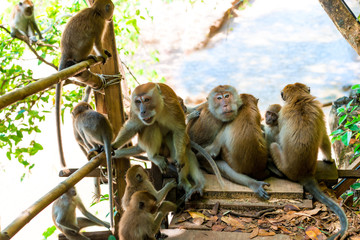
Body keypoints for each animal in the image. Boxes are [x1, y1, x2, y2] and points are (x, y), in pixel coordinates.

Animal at [55, 0, 114, 170]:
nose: (111, 16)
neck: (95, 11)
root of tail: (65, 52)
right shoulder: (100, 23)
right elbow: (97, 42)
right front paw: (102, 54)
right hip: (81, 48)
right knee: (90, 39)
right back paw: (84, 59)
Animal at [71, 101, 114, 231]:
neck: (82, 112)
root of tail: (106, 132)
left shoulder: (77, 125)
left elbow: (82, 138)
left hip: (92, 135)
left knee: (87, 137)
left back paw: (95, 148)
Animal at [272, 83, 348, 240]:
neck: (299, 99)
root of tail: (305, 174)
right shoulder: (318, 109)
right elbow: (324, 137)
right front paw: (329, 159)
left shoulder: (282, 113)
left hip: (283, 165)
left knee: (274, 145)